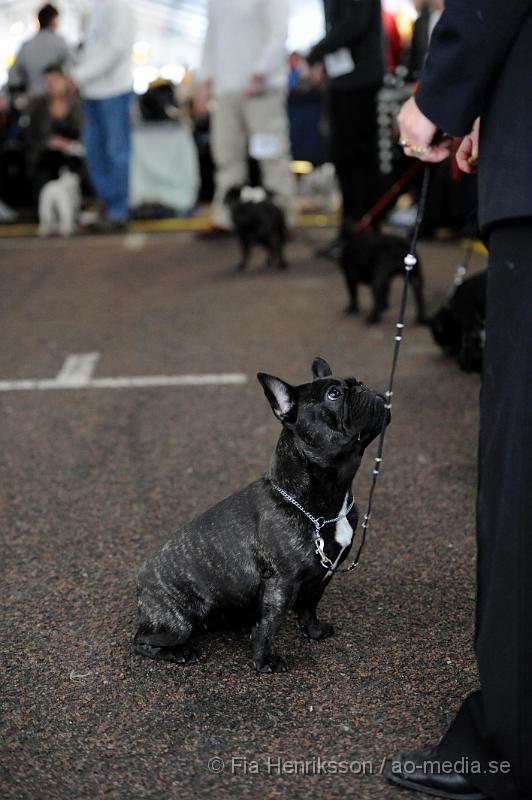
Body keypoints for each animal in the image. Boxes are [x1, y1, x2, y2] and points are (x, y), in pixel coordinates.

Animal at [135, 360, 388, 672]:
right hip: (177, 623)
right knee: (143, 641)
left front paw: (313, 631)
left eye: (358, 382)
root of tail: (141, 583)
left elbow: (309, 607)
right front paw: (264, 660)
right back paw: (180, 652)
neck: (324, 505)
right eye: (334, 394)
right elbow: (269, 625)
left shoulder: (323, 574)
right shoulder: (280, 583)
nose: (365, 388)